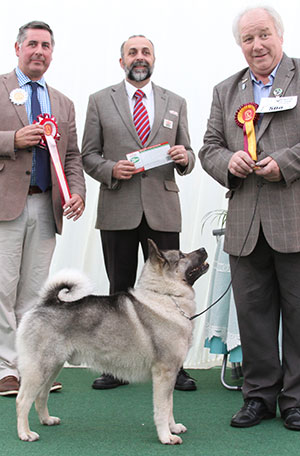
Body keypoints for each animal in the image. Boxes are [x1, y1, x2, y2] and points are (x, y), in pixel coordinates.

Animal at [16, 240, 209, 444]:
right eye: (181, 255)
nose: (204, 249)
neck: (165, 296)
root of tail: (45, 303)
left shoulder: (170, 376)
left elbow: (170, 405)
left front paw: (173, 428)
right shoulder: (164, 374)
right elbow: (162, 409)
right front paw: (166, 436)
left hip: (53, 368)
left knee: (41, 396)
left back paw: (47, 420)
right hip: (39, 369)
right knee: (22, 400)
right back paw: (25, 433)